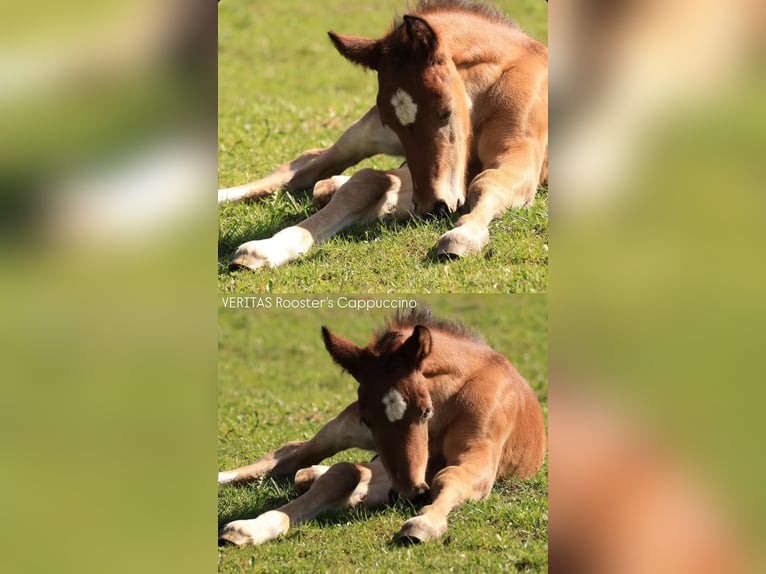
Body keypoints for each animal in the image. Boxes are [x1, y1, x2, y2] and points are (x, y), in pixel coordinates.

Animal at [217, 308, 546, 546]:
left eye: (425, 411)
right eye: (368, 419)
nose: (413, 494)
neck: (451, 398)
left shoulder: (478, 455)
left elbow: (450, 477)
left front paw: (423, 524)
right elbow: (343, 472)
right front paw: (250, 528)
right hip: (341, 431)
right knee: (291, 454)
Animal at [219, 0, 548, 270]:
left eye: (445, 112)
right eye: (392, 122)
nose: (434, 209)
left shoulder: (519, 159)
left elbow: (487, 182)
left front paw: (462, 235)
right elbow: (368, 179)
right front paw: (265, 249)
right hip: (364, 135)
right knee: (306, 165)